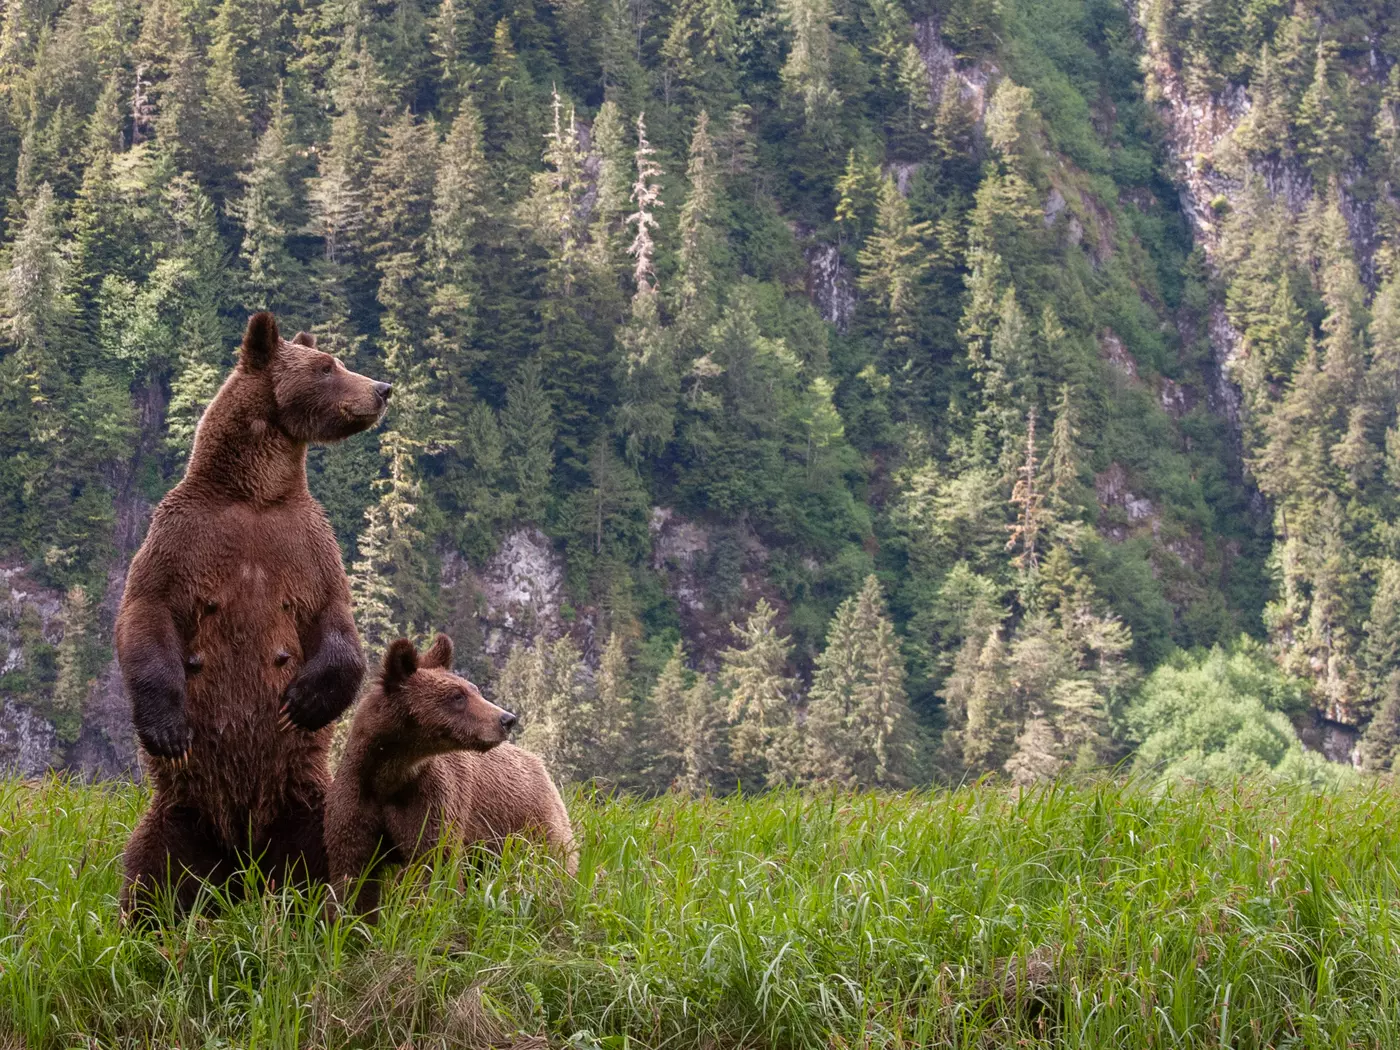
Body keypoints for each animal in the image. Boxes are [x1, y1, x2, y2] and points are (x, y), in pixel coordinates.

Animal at [116, 311, 391, 920]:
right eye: (327, 366)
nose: (382, 388)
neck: (255, 493)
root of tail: (241, 864)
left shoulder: (306, 545)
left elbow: (336, 621)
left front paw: (305, 700)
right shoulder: (183, 539)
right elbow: (146, 613)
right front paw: (168, 728)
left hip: (306, 805)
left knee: (329, 861)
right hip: (178, 816)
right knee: (151, 870)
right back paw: (145, 920)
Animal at [325, 634, 577, 918]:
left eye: (474, 690)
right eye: (458, 696)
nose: (506, 719)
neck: (391, 773)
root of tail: (541, 767)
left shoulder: (430, 799)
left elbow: (434, 864)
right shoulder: (357, 796)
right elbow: (352, 874)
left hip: (533, 825)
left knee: (550, 867)